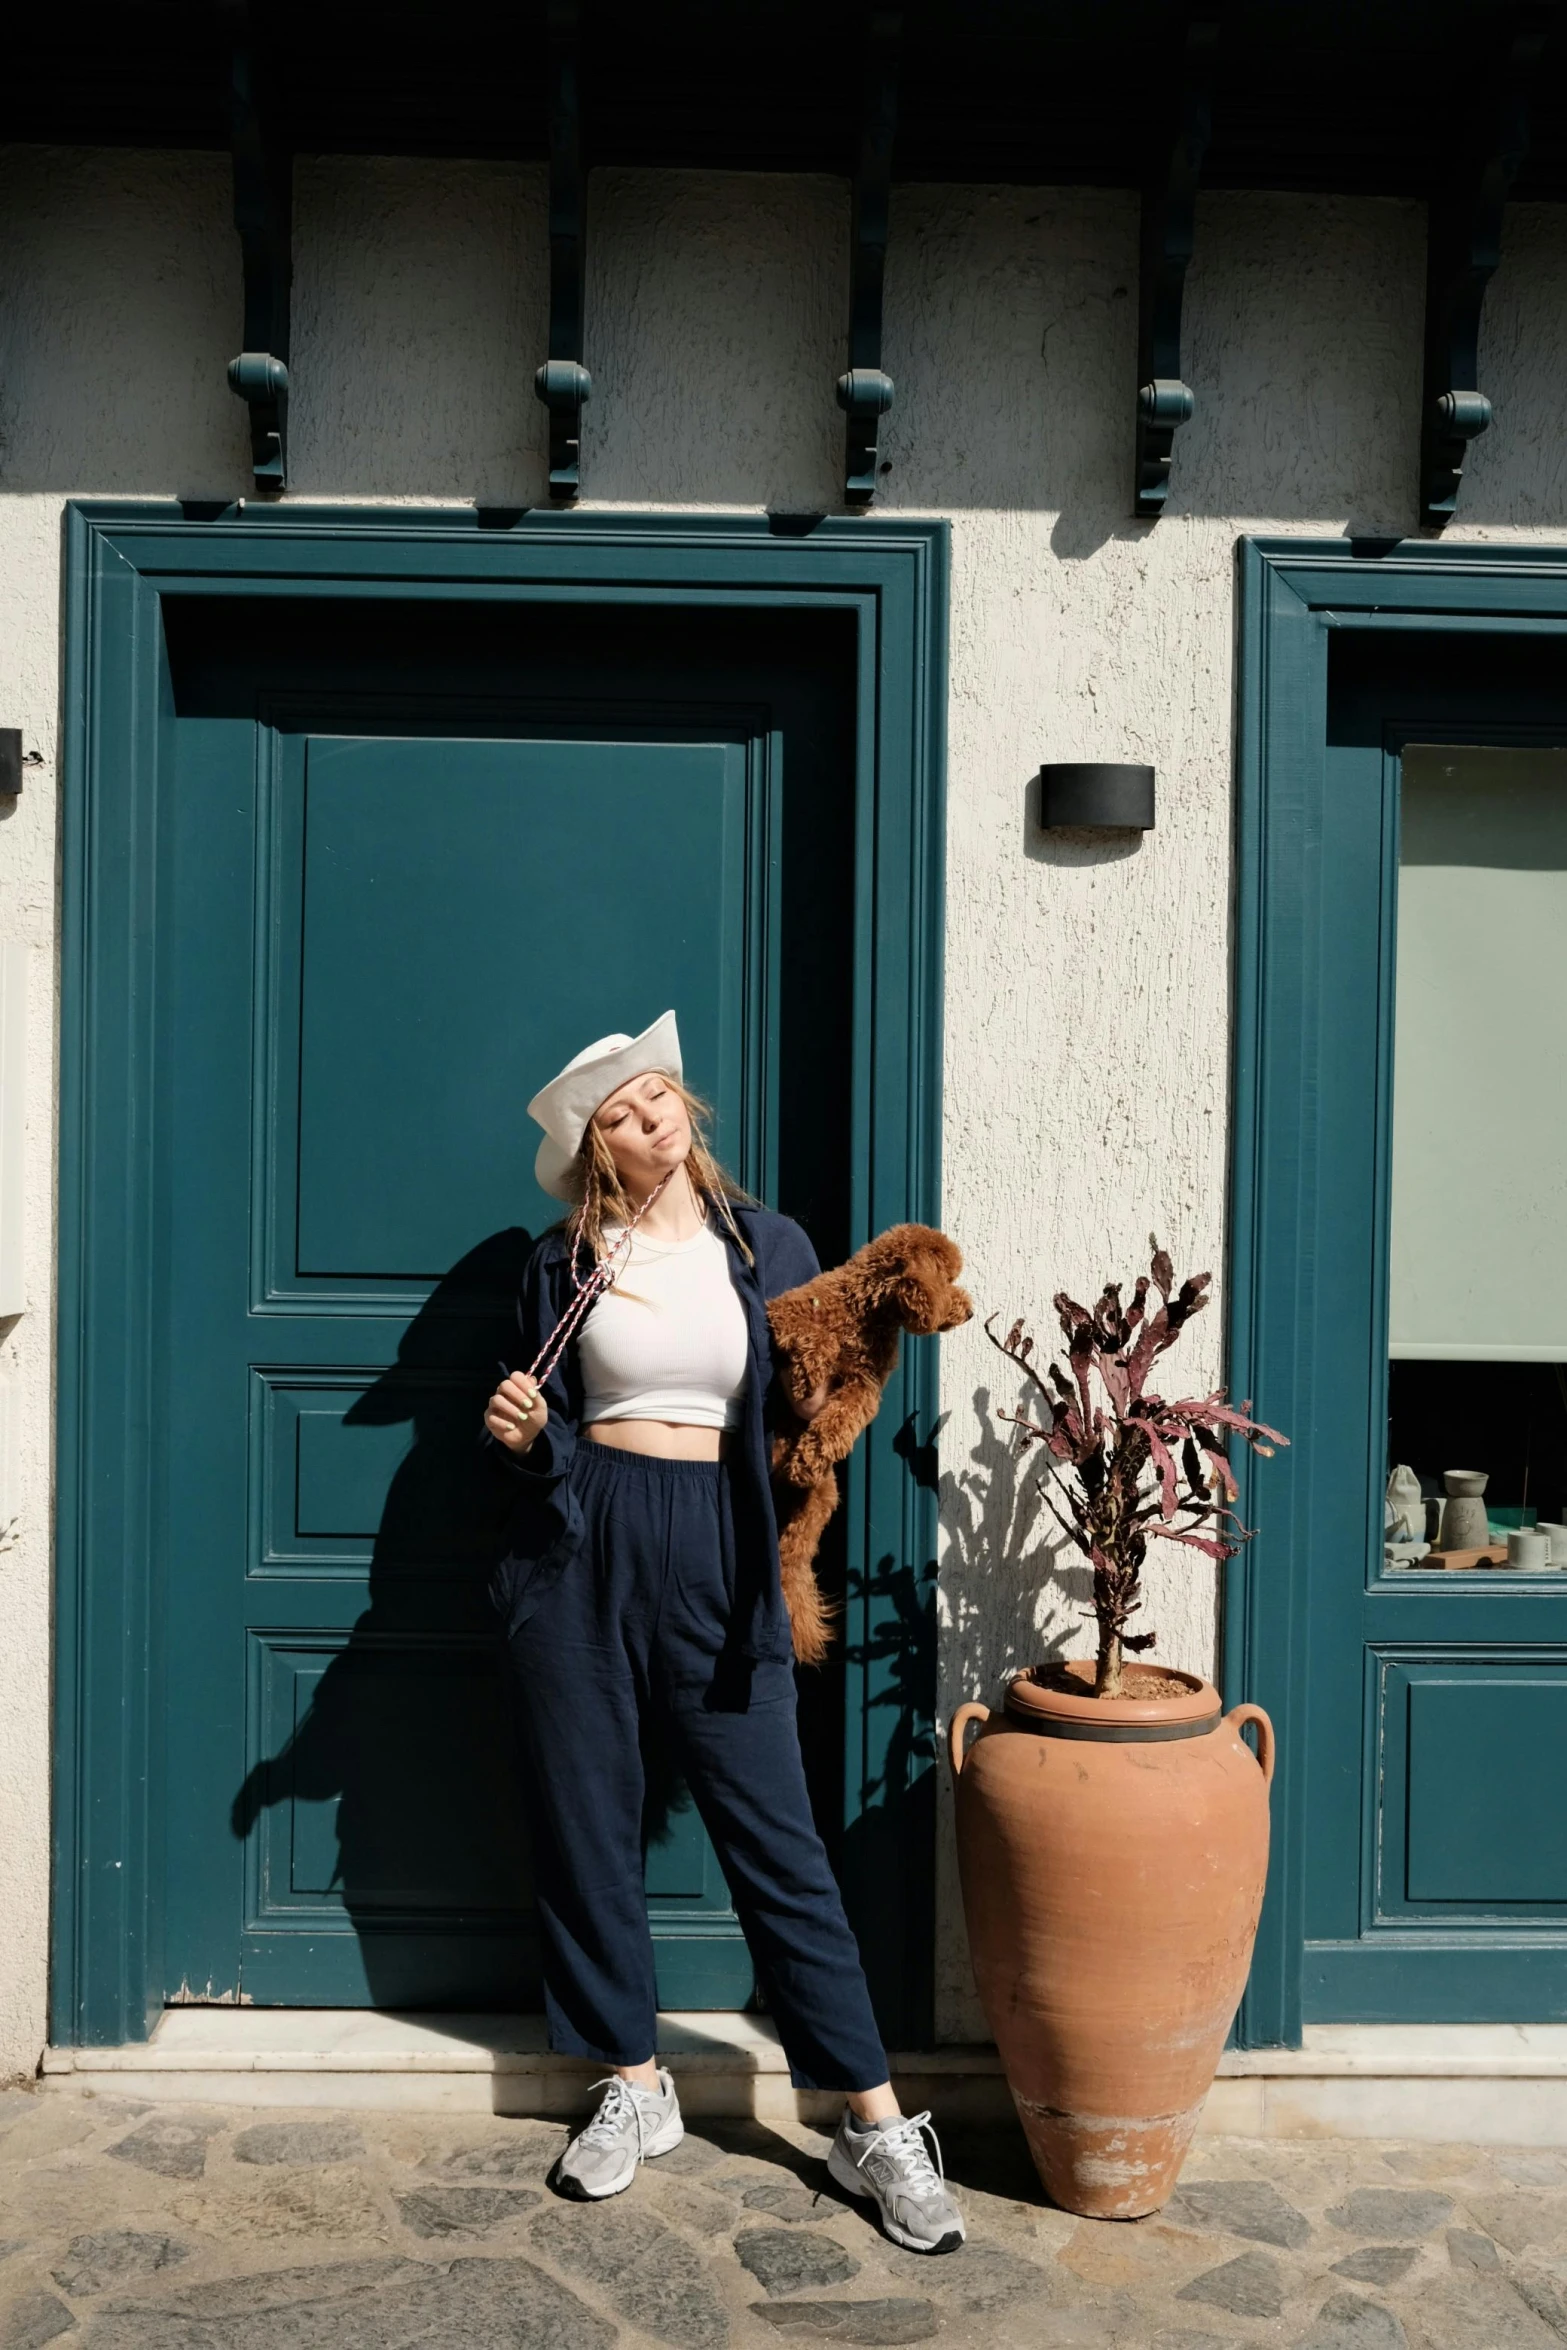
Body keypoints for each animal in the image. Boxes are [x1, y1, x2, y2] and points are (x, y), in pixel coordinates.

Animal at [770, 1222, 972, 1663]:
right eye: (949, 1279)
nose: (970, 1311)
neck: (868, 1311)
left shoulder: (864, 1387)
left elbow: (841, 1420)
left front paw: (811, 1454)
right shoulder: (783, 1310)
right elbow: (816, 1335)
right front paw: (810, 1369)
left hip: (819, 1500)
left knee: (791, 1558)